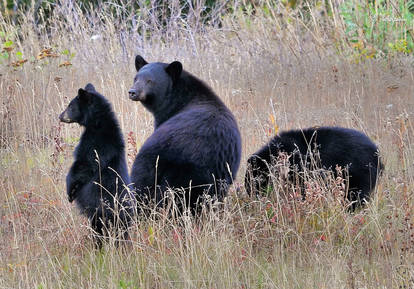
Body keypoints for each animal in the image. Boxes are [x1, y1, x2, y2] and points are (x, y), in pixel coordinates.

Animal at [59, 82, 135, 245]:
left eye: (70, 106)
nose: (60, 116)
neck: (98, 123)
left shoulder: (94, 143)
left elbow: (83, 165)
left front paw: (70, 192)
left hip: (100, 213)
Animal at [244, 126, 384, 209]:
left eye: (253, 182)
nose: (251, 196)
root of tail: (378, 155)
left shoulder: (298, 164)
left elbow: (302, 187)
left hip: (358, 173)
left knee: (355, 196)